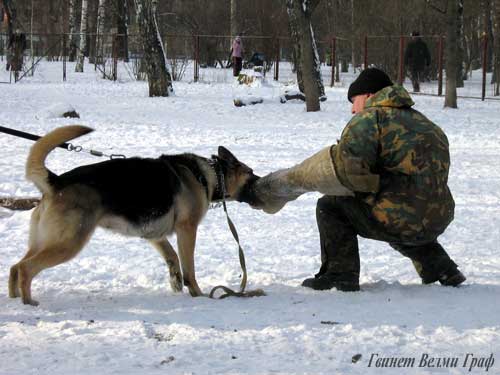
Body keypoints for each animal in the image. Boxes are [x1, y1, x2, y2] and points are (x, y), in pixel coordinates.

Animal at [7, 125, 260, 306]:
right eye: (252, 173)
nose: (263, 181)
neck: (211, 175)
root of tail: (56, 182)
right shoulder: (187, 230)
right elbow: (189, 267)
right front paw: (197, 293)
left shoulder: (153, 234)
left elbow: (172, 257)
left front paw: (176, 281)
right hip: (68, 243)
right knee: (26, 268)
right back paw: (28, 302)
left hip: (43, 240)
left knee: (15, 266)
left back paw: (13, 297)